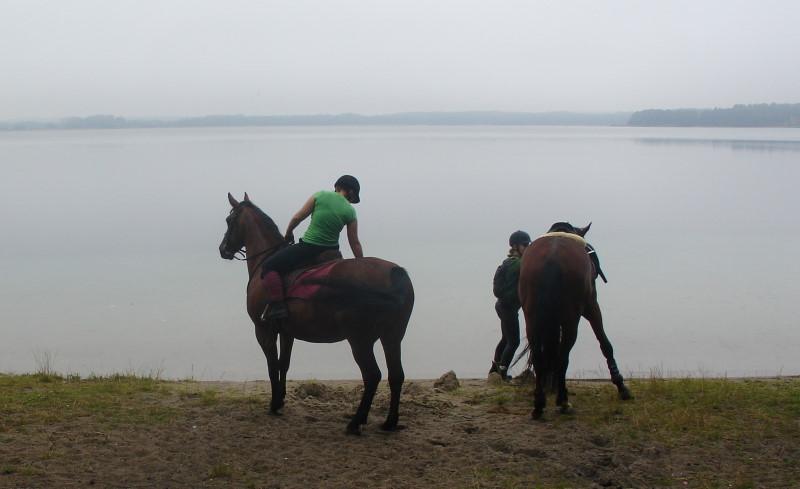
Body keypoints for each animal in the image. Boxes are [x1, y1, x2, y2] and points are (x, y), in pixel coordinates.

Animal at [220, 193, 416, 432]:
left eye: (229, 221)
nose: (223, 249)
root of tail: (395, 273)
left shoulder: (263, 330)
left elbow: (272, 365)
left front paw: (274, 404)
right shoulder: (287, 332)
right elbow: (284, 364)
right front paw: (281, 400)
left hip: (360, 339)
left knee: (372, 376)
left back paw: (355, 422)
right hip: (392, 336)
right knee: (396, 375)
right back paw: (389, 422)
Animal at [520, 223, 632, 418]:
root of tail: (551, 258)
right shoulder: (591, 306)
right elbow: (605, 343)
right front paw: (621, 386)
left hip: (533, 319)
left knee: (539, 357)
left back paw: (539, 403)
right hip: (571, 319)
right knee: (563, 357)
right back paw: (563, 401)